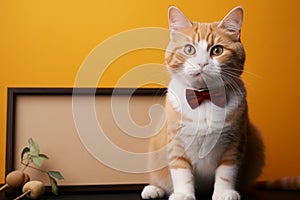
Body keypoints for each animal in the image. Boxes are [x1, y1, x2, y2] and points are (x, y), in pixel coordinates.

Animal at [141, 5, 274, 200]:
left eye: (217, 50)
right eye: (189, 49)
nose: (202, 63)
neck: (204, 97)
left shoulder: (234, 142)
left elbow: (226, 172)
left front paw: (224, 193)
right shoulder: (176, 143)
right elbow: (181, 171)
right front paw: (183, 194)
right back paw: (153, 189)